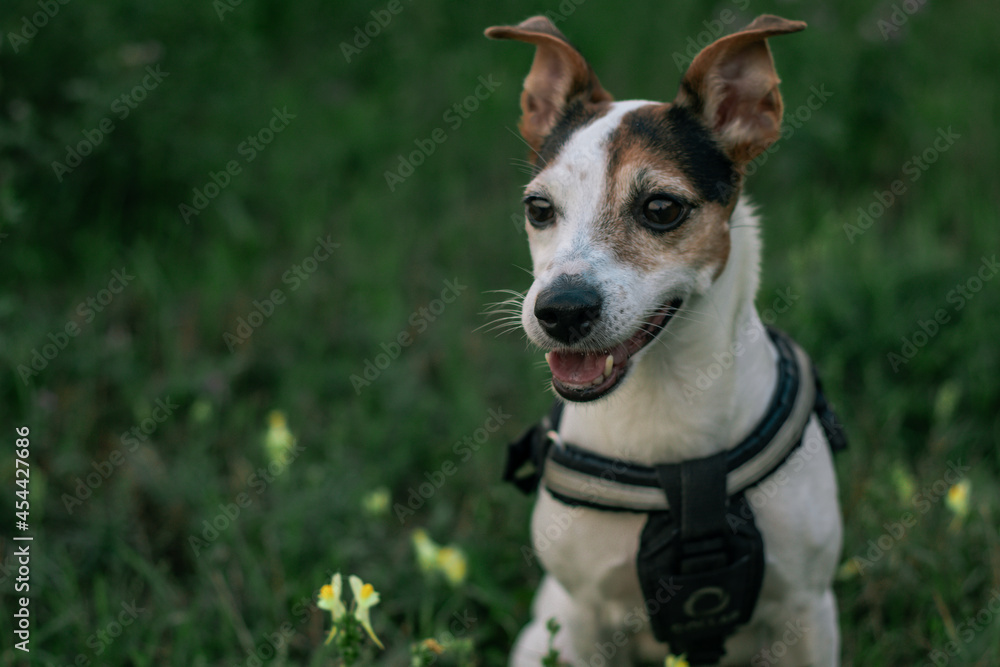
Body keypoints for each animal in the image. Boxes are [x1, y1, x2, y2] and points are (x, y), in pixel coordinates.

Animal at [484, 13, 844, 664]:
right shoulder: (582, 616)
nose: (560, 311)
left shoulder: (808, 610)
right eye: (538, 208)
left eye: (661, 208)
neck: (666, 405)